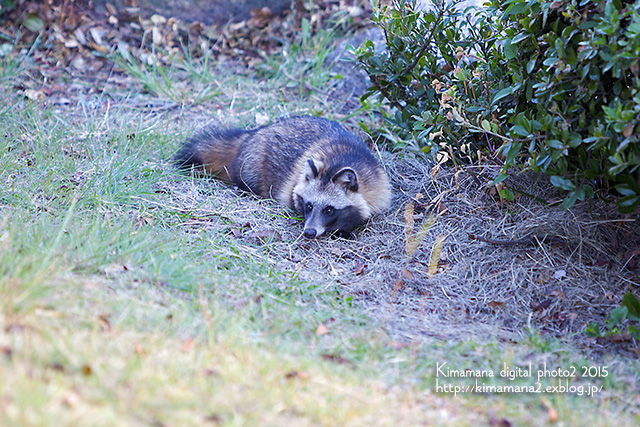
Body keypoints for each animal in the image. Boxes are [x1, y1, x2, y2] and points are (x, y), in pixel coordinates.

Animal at [176, 115, 396, 239]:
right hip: (253, 165)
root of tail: (253, 133)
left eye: (329, 209)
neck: (338, 163)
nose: (309, 233)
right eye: (309, 206)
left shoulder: (378, 182)